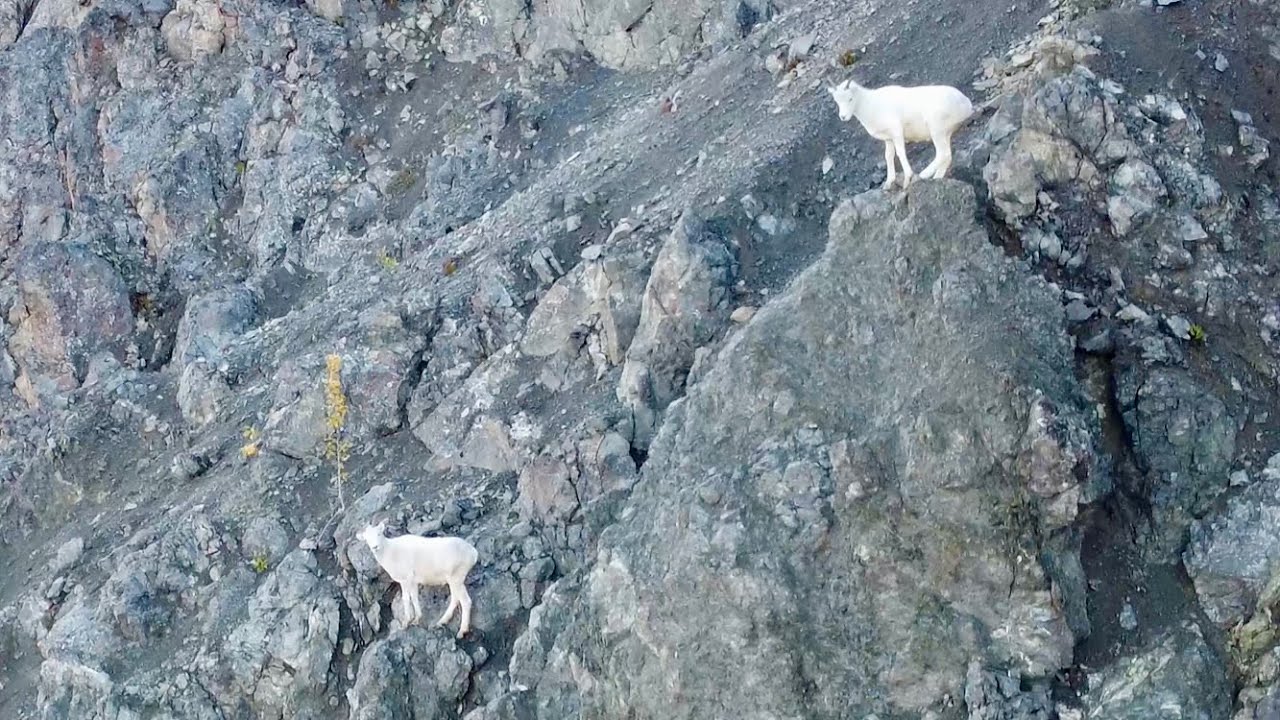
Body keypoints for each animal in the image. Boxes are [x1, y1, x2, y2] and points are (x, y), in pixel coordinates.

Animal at [826, 78, 977, 190]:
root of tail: (966, 103)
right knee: (947, 155)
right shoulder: (888, 139)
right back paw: (936, 178)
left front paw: (907, 179)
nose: (843, 117)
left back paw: (922, 175)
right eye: (837, 100)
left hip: (936, 130)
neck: (871, 106)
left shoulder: (897, 132)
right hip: (946, 134)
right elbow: (888, 156)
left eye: (850, 99)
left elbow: (900, 153)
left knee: (942, 153)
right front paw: (888, 183)